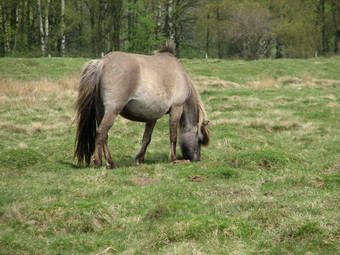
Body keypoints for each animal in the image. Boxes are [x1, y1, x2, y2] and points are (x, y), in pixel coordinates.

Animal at [73, 41, 210, 168]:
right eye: (200, 140)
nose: (196, 160)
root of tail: (103, 62)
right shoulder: (177, 108)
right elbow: (173, 136)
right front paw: (173, 159)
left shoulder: (153, 116)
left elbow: (146, 138)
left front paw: (140, 159)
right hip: (112, 111)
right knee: (101, 133)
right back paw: (99, 162)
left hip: (101, 111)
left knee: (105, 135)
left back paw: (110, 162)